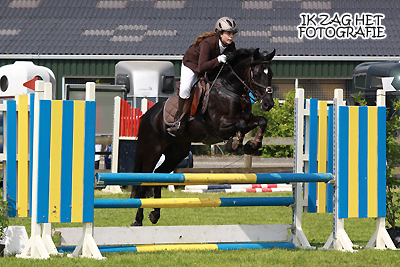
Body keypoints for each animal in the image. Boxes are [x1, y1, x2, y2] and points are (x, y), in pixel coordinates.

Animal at [130, 47, 276, 226]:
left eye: (271, 74)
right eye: (256, 74)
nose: (268, 104)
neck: (230, 89)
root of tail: (146, 116)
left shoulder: (249, 119)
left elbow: (261, 121)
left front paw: (252, 145)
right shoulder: (220, 125)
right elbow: (241, 124)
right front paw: (234, 144)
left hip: (176, 152)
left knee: (159, 175)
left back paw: (155, 214)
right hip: (152, 151)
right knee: (145, 181)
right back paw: (138, 220)